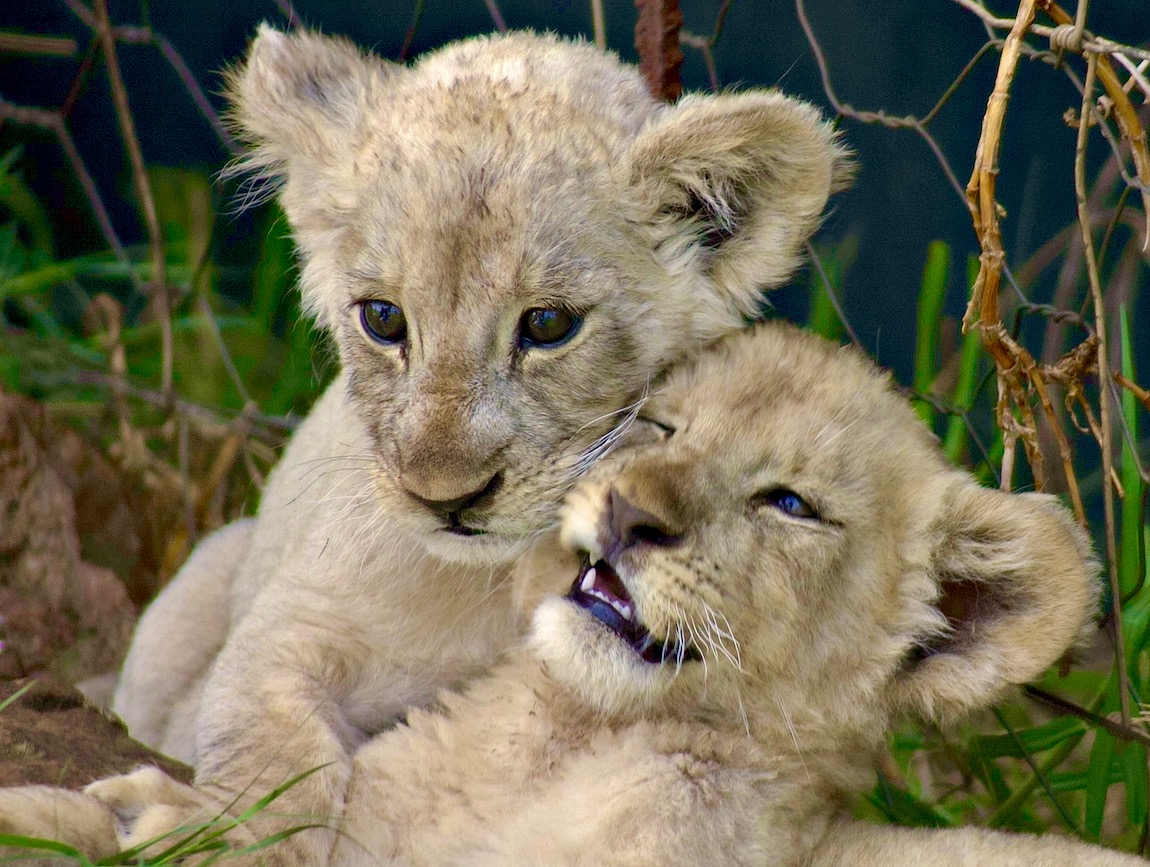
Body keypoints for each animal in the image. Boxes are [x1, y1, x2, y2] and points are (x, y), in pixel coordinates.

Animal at [101, 26, 848, 863]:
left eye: (549, 324)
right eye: (383, 318)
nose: (445, 496)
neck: (496, 588)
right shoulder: (297, 621)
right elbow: (265, 743)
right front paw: (228, 834)